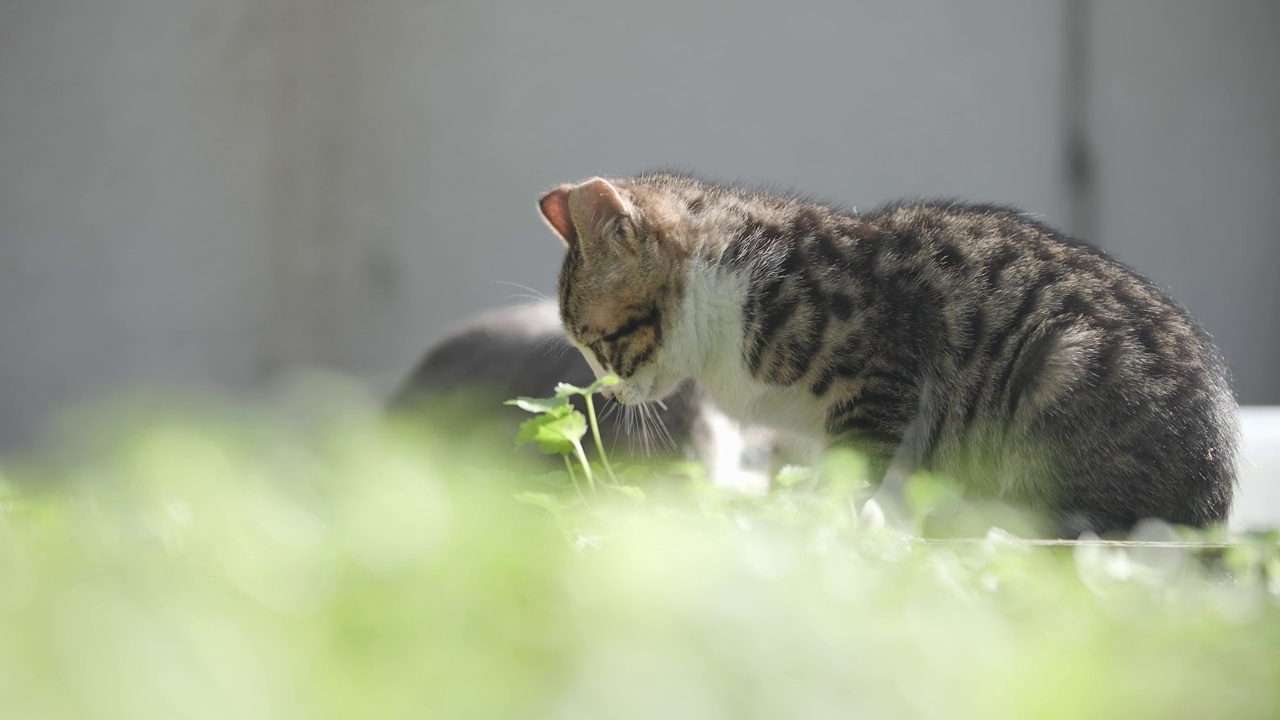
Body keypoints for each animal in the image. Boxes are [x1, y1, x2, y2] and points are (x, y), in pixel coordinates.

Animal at [535, 172, 1233, 532]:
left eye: (599, 343)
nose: (607, 392)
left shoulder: (880, 375)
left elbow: (853, 468)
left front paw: (829, 524)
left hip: (1062, 363)